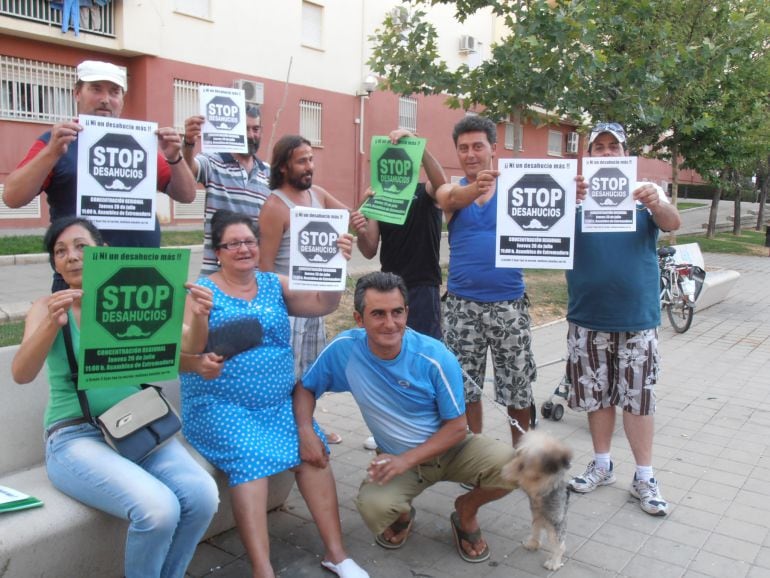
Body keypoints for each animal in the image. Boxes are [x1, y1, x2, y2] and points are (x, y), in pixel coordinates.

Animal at [498, 428, 568, 568]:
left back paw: (553, 563)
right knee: (537, 536)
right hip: (537, 519)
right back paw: (532, 544)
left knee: (559, 546)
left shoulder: (541, 481)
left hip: (552, 526)